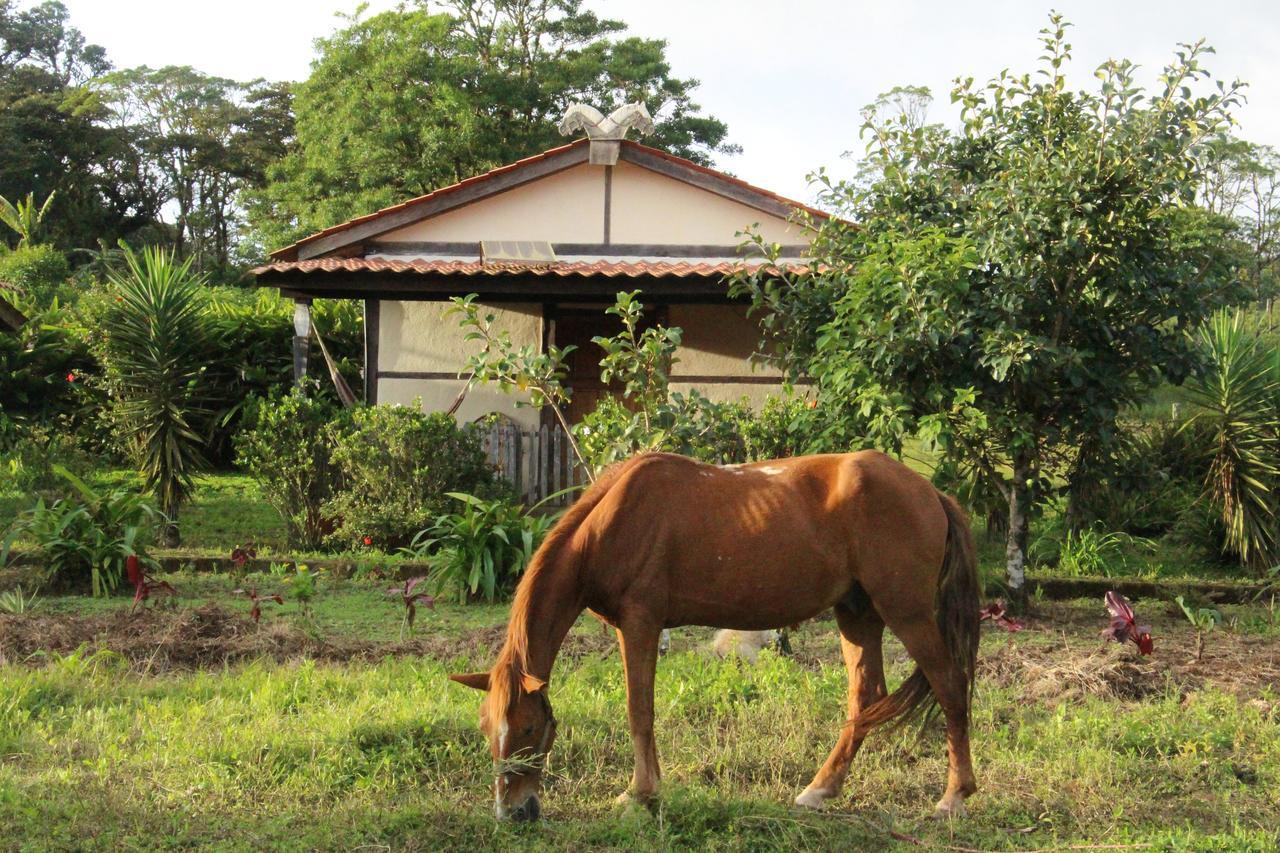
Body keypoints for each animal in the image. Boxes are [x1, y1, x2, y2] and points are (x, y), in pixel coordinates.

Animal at [450, 450, 977, 819]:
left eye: (528, 728)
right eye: (485, 729)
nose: (512, 813)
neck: (612, 521)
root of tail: (930, 493)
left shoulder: (640, 623)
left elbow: (639, 710)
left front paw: (640, 795)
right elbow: (642, 710)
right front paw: (649, 789)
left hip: (907, 612)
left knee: (951, 687)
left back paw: (954, 796)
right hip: (857, 614)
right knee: (866, 698)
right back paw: (820, 789)